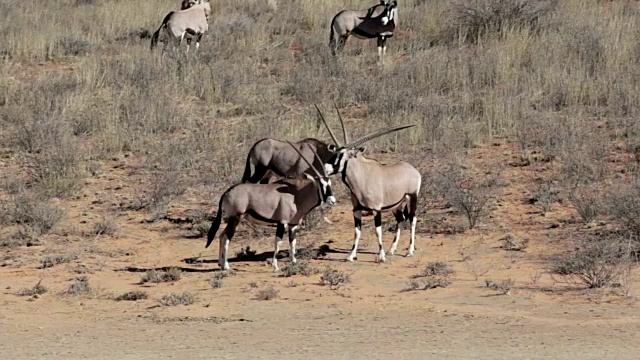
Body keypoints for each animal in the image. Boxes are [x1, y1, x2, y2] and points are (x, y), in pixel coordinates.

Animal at [205, 142, 338, 272]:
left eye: (329, 183)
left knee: (221, 236)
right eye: (321, 184)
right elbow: (278, 242)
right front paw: (275, 266)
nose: (332, 200)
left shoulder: (292, 225)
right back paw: (226, 266)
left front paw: (293, 262)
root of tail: (227, 192)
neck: (296, 194)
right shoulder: (282, 222)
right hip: (235, 218)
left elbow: (293, 242)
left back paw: (220, 264)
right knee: (226, 238)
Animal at [318, 108, 420, 262]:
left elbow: (378, 231)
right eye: (334, 153)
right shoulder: (356, 210)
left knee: (413, 220)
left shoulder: (376, 210)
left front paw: (381, 256)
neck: (362, 177)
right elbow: (357, 232)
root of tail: (413, 170)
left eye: (342, 156)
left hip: (412, 197)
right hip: (396, 205)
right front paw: (351, 255)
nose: (325, 168)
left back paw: (409, 251)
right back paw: (391, 250)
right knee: (401, 220)